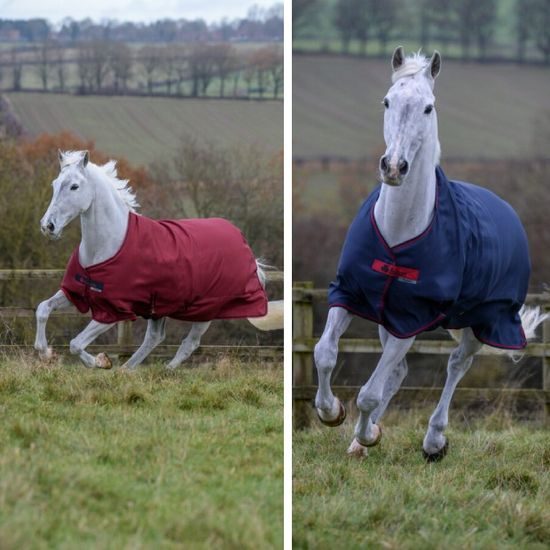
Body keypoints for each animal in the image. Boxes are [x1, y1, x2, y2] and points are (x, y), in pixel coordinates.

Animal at [35, 152, 284, 370]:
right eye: (55, 184)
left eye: (74, 186)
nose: (48, 226)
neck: (106, 246)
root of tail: (243, 242)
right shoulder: (76, 292)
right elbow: (42, 309)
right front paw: (46, 353)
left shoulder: (114, 310)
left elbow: (75, 344)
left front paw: (100, 361)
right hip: (159, 308)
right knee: (155, 337)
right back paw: (126, 369)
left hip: (206, 311)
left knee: (189, 343)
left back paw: (165, 369)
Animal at [314, 46, 548, 462]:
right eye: (387, 101)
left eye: (428, 107)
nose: (394, 167)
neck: (399, 230)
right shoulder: (353, 295)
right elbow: (324, 353)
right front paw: (333, 414)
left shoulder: (412, 318)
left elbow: (369, 393)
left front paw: (366, 432)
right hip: (387, 318)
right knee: (399, 372)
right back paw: (362, 440)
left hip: (484, 320)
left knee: (456, 365)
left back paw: (433, 441)